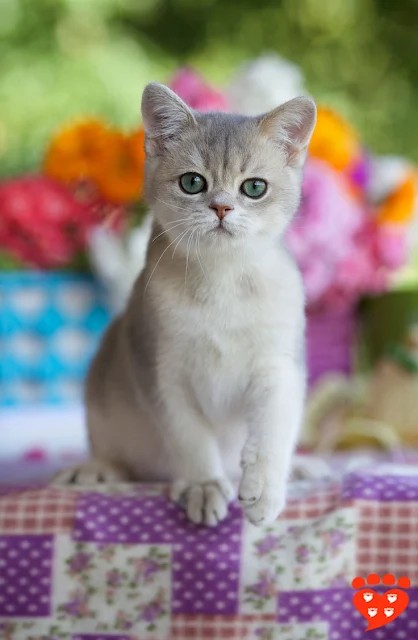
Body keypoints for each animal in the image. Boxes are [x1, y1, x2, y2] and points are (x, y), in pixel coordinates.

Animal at [56, 84, 316, 524]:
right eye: (193, 182)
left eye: (254, 187)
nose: (222, 207)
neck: (223, 282)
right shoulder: (161, 372)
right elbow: (189, 437)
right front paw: (203, 485)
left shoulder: (279, 367)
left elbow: (272, 430)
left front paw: (265, 487)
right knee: (120, 459)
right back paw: (95, 470)